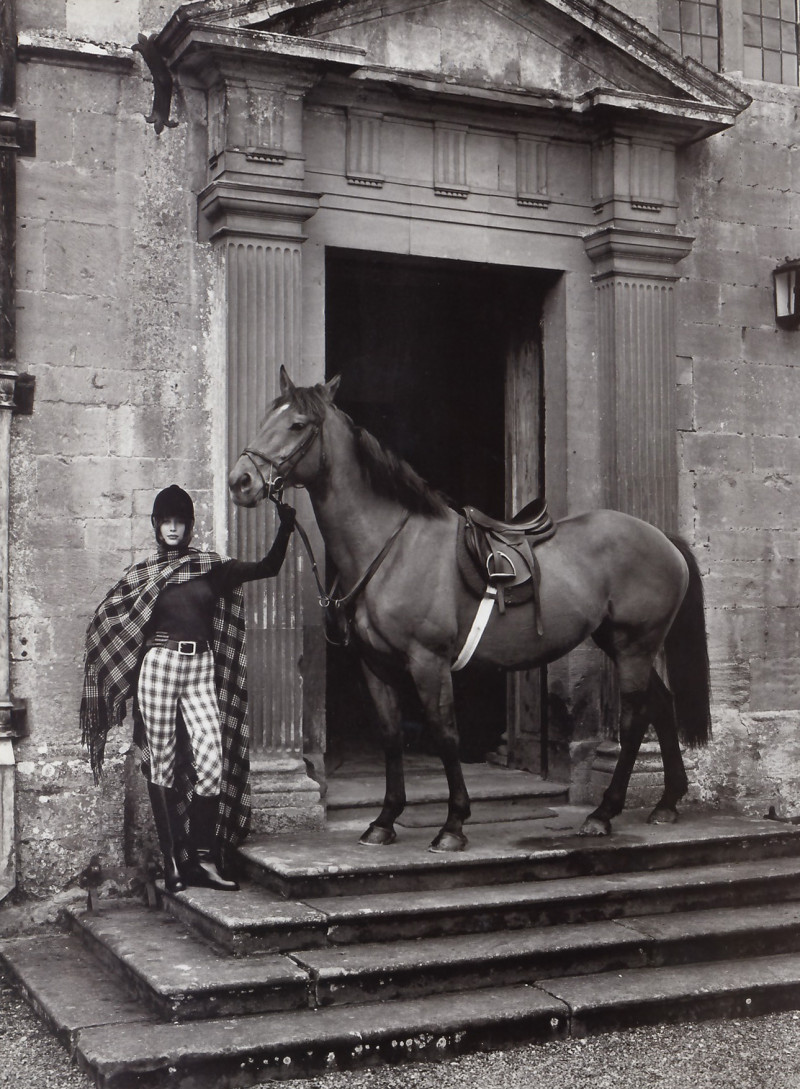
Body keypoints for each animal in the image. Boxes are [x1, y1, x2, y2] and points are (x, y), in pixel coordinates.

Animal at [228, 365, 709, 849]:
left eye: (297, 425)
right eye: (268, 416)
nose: (240, 482)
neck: (393, 547)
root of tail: (664, 538)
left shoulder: (428, 662)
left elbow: (446, 736)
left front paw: (453, 824)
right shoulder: (376, 666)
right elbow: (390, 737)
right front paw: (385, 820)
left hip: (634, 645)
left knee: (634, 720)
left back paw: (604, 812)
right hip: (620, 642)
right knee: (661, 705)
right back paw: (667, 802)